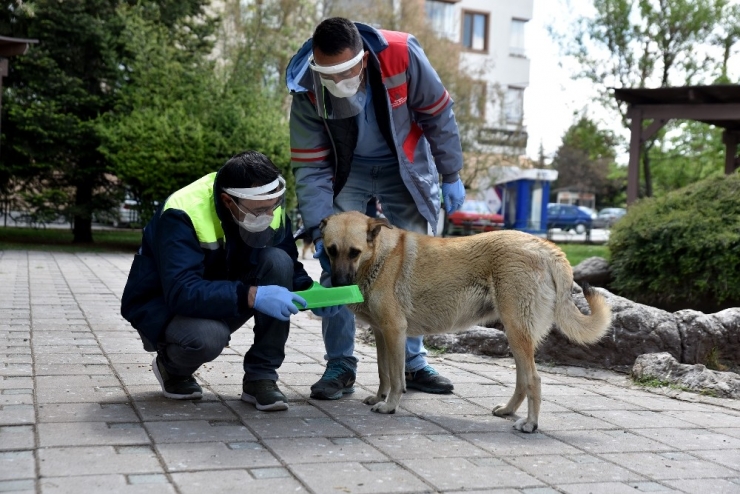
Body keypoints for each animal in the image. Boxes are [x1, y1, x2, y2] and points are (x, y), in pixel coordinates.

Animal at [320, 212, 612, 432]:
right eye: (331, 251)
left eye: (354, 252)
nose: (337, 284)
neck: (379, 257)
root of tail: (546, 247)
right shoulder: (382, 333)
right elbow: (383, 372)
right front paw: (379, 397)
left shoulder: (395, 332)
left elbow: (395, 377)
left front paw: (390, 405)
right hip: (516, 336)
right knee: (522, 380)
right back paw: (508, 411)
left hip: (517, 332)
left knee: (534, 380)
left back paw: (530, 423)